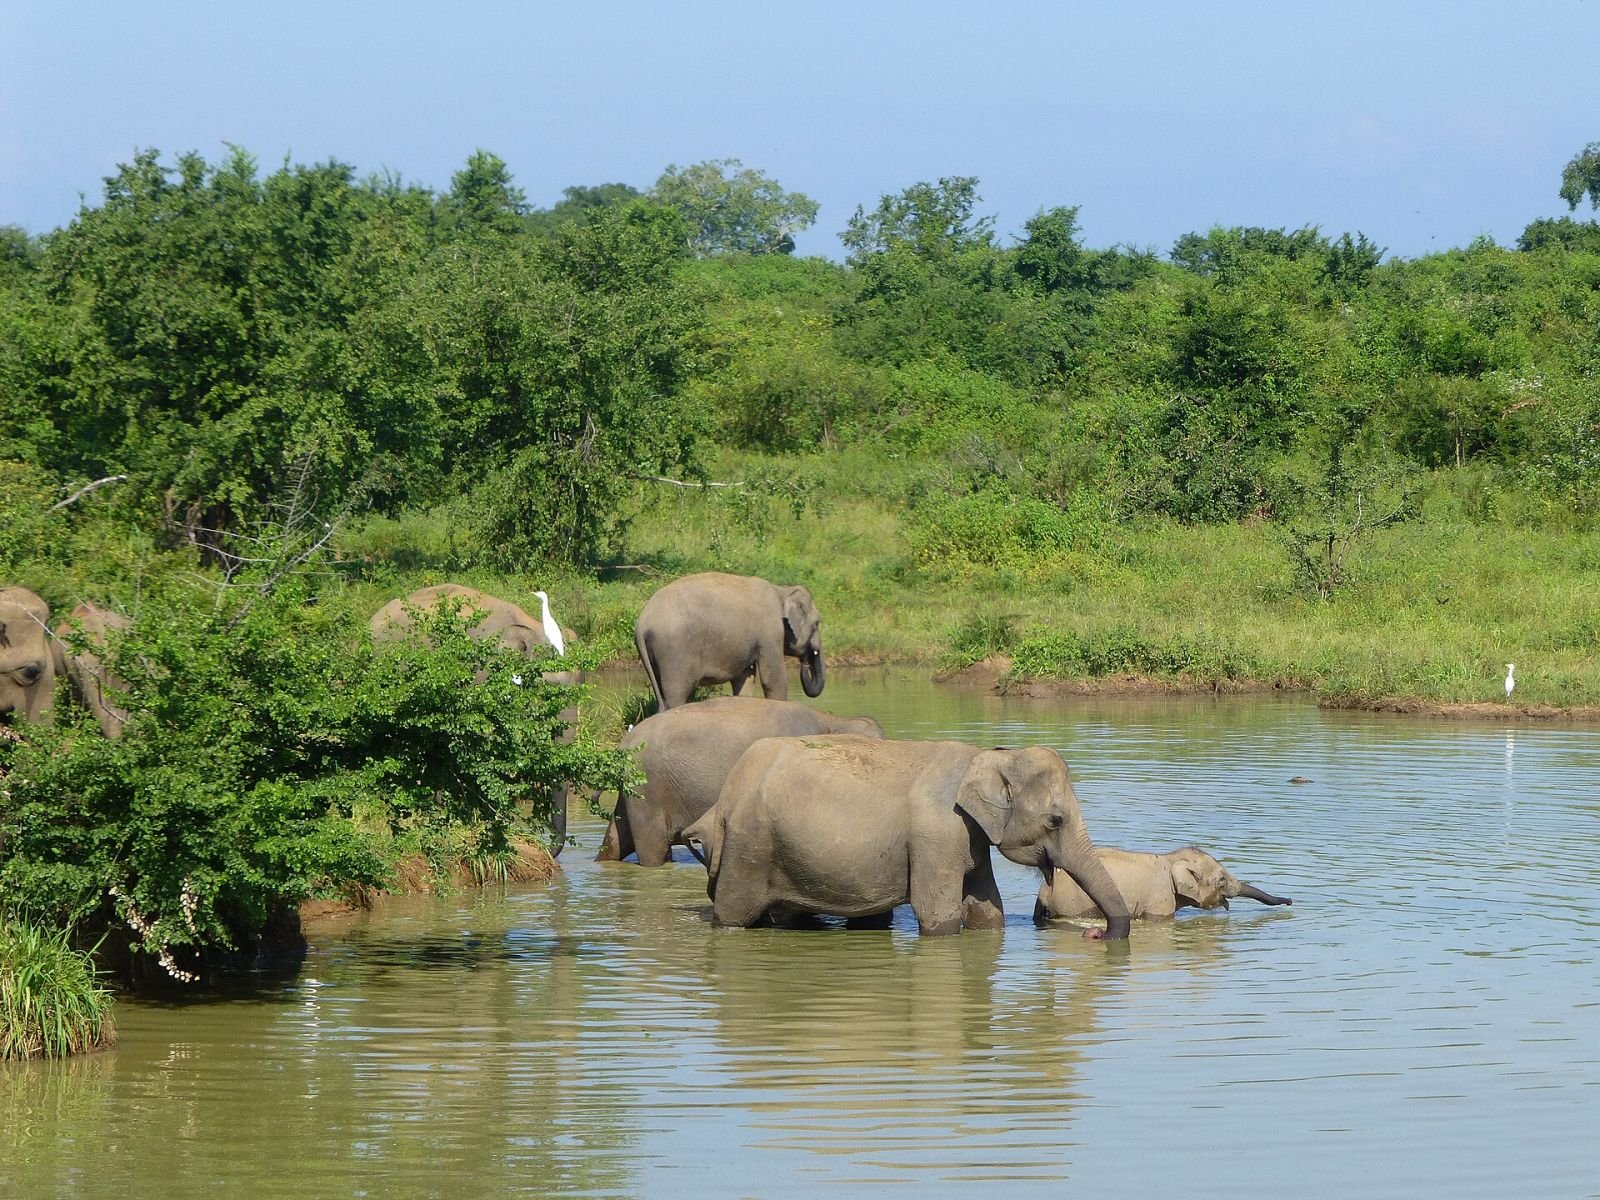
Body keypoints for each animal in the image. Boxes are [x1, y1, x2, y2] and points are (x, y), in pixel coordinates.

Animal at [595, 696, 884, 867]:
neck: (833, 720)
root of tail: (623, 744)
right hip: (649, 790)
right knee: (652, 849)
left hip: (634, 793)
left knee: (615, 840)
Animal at [634, 572, 824, 710]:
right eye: (817, 623)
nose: (805, 663)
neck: (781, 590)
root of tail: (642, 624)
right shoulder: (770, 632)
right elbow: (773, 678)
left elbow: (745, 678)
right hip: (674, 653)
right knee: (676, 694)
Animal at [684, 736, 1131, 939]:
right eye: (1056, 820)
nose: (1095, 934)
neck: (986, 755)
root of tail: (725, 798)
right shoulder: (936, 833)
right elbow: (939, 917)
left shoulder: (969, 837)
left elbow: (988, 910)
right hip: (749, 847)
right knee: (734, 915)